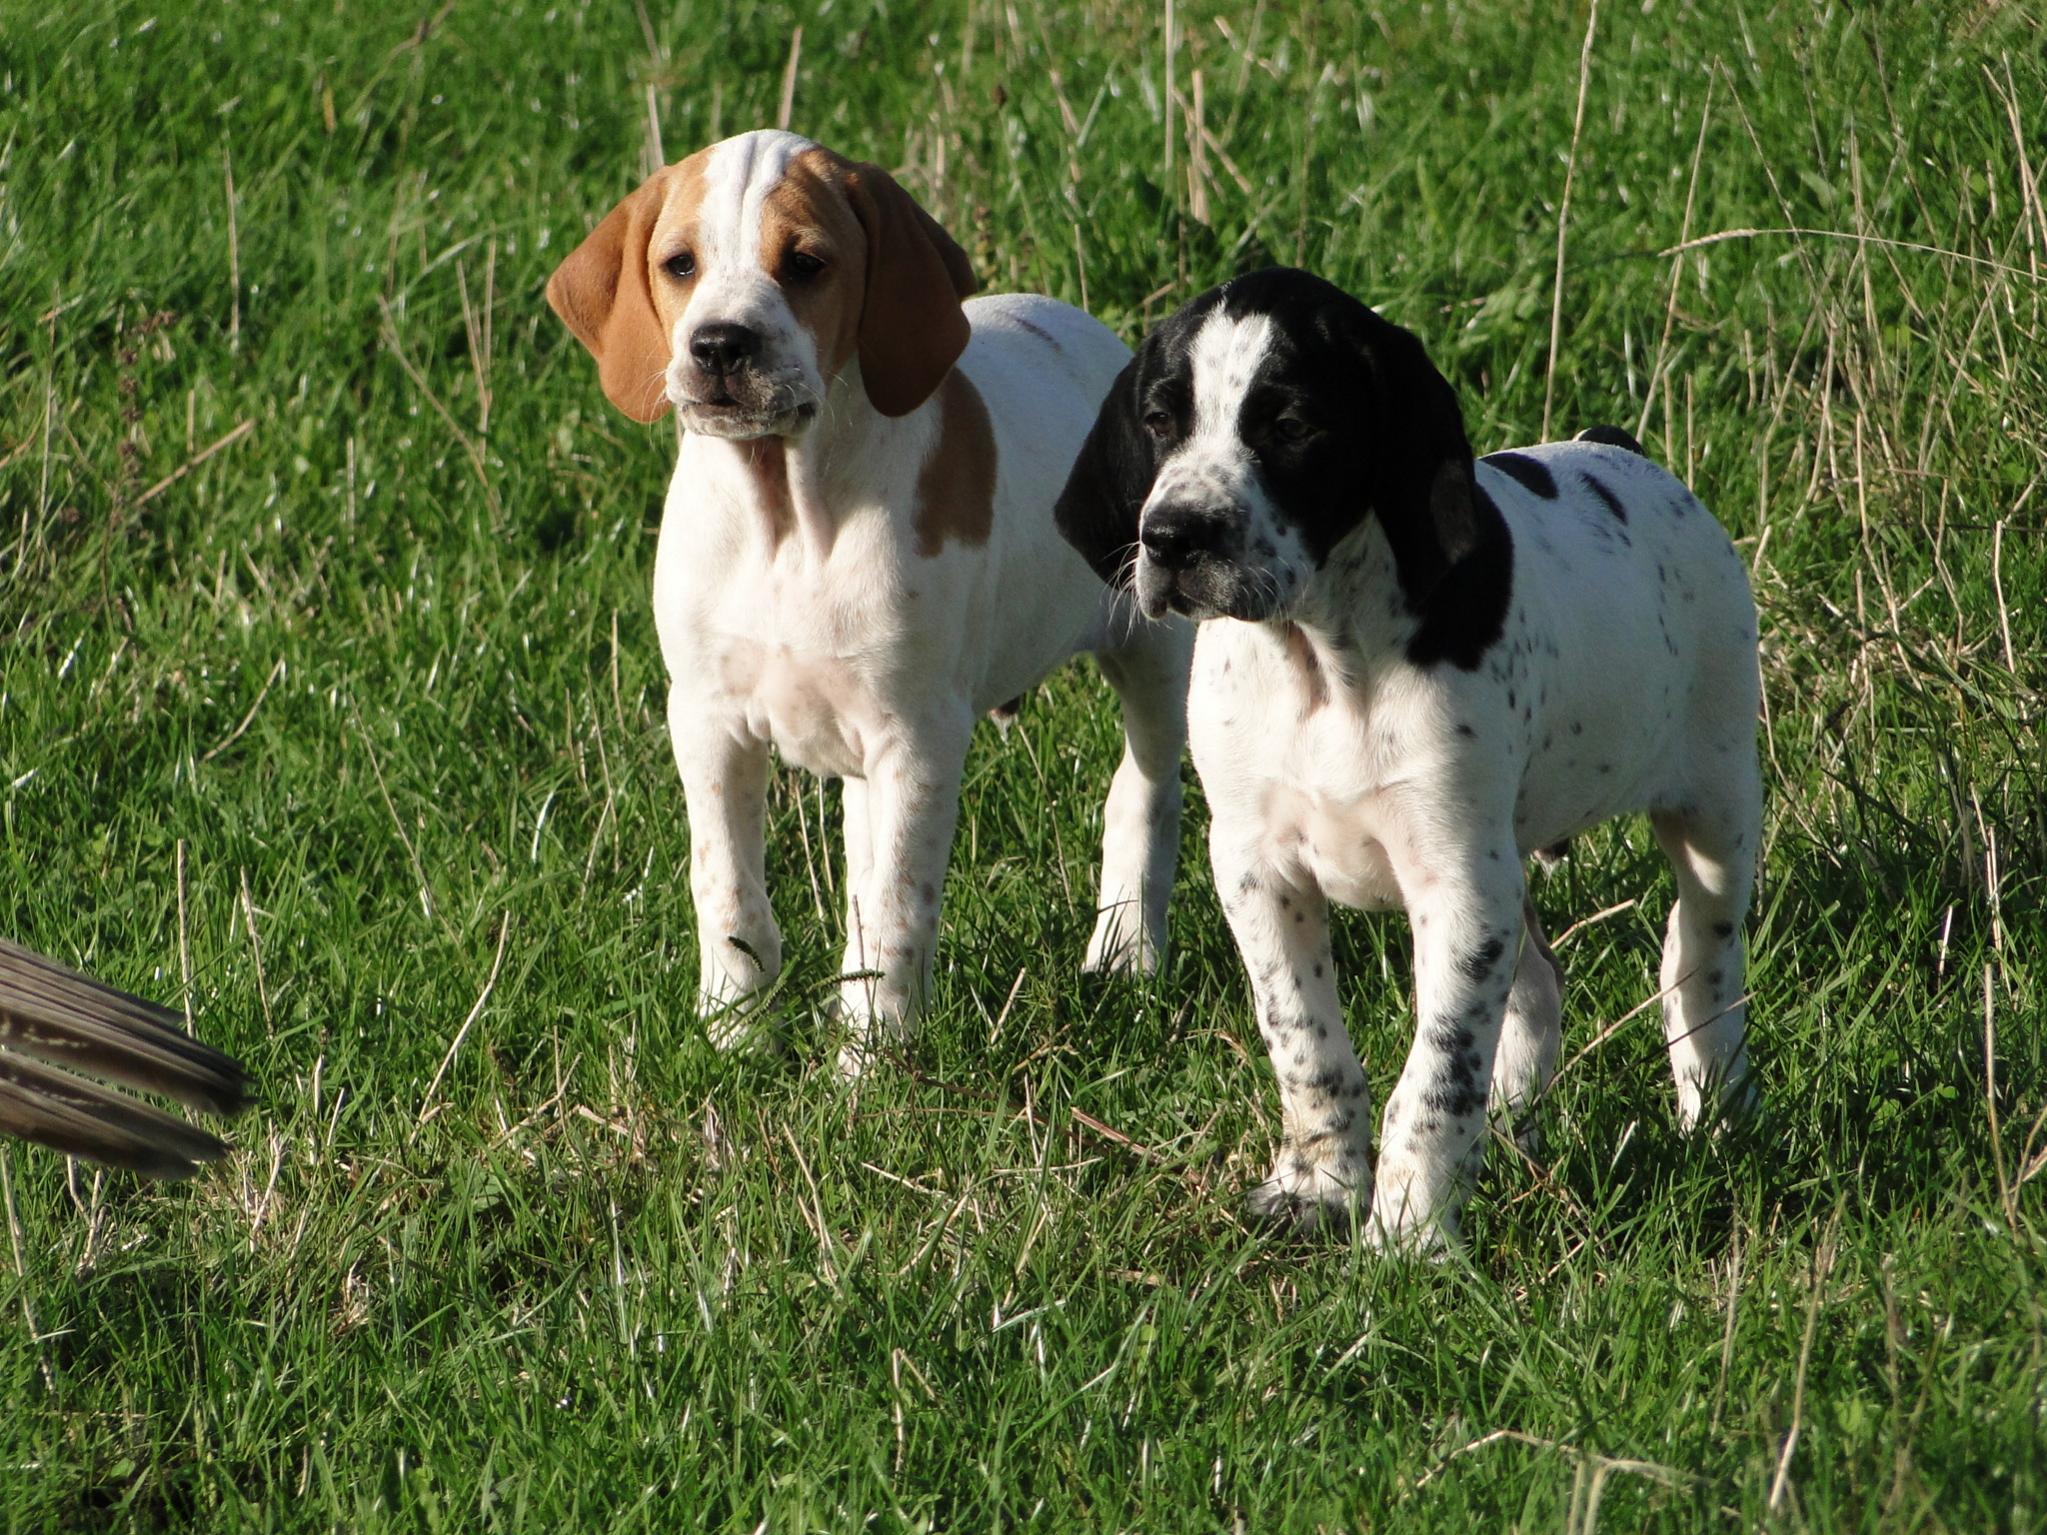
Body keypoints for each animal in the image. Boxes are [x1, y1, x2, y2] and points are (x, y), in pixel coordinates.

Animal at [552, 132, 1195, 1072]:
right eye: (679, 264)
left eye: (806, 264)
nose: (718, 345)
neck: (786, 514)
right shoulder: (707, 721)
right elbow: (728, 886)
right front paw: (737, 1034)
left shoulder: (918, 737)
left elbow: (895, 906)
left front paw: (871, 1065)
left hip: (1150, 648)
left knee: (1142, 793)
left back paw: (1127, 957)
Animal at [1056, 270, 1760, 1252]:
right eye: (1160, 419)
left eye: (1291, 425)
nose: (1171, 537)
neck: (1322, 659)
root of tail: (1616, 451)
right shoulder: (1256, 868)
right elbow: (1306, 1046)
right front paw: (1317, 1186)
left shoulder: (1456, 882)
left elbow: (1433, 1076)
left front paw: (1410, 1235)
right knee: (1537, 986)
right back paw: (1515, 1131)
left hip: (1713, 808)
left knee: (1698, 967)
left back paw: (1715, 1114)